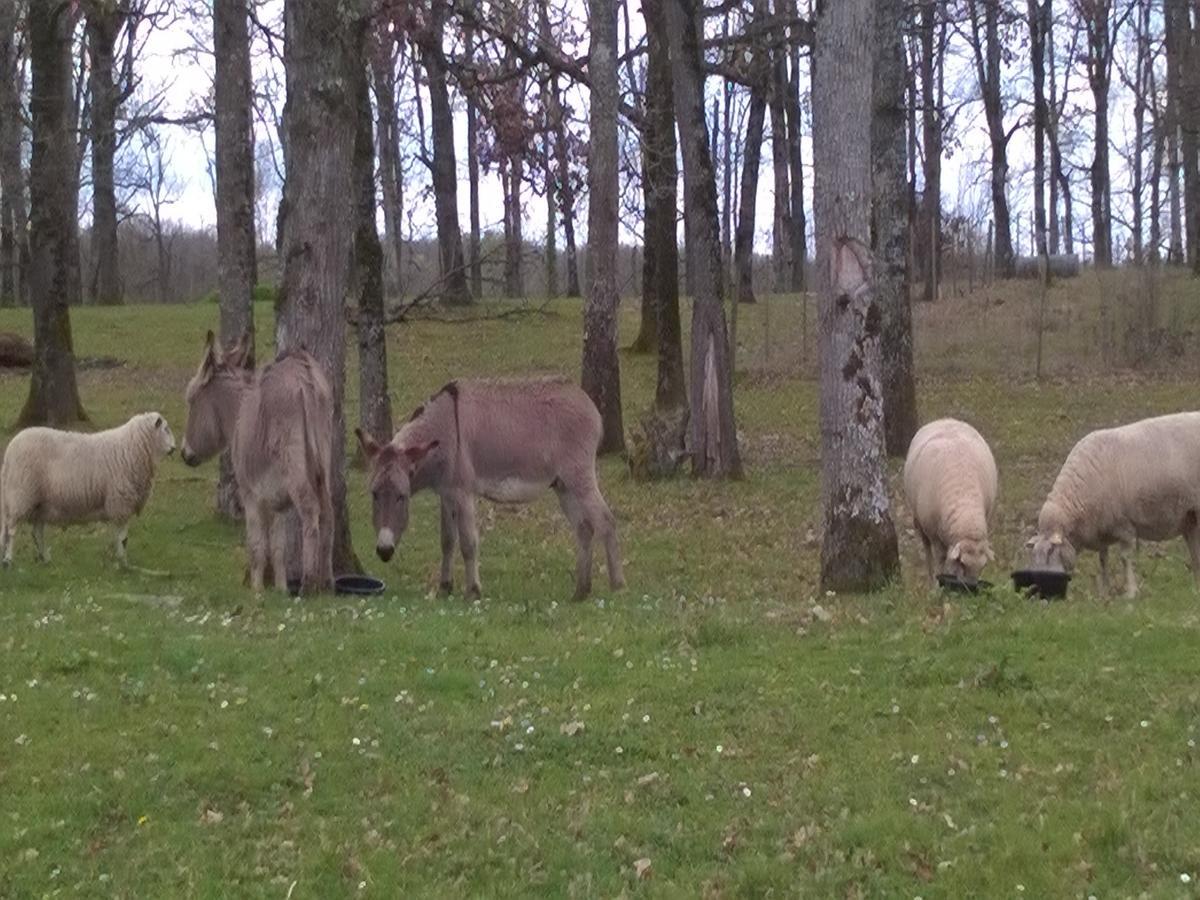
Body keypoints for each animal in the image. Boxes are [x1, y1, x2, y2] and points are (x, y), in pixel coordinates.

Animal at [0, 415, 176, 566]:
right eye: (165, 429)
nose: (174, 448)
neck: (131, 447)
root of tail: (9, 451)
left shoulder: (121, 506)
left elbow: (121, 538)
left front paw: (122, 560)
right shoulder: (121, 503)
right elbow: (123, 538)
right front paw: (123, 563)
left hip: (39, 503)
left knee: (37, 533)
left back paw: (45, 559)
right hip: (20, 496)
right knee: (11, 530)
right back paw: (9, 559)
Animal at [902, 422, 998, 585]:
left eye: (983, 566)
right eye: (962, 563)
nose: (971, 587)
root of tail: (944, 420)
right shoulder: (933, 533)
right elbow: (940, 558)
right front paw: (939, 582)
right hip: (920, 522)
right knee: (927, 549)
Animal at [1027, 415, 1200, 600]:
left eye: (1051, 551)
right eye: (1034, 555)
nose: (1040, 594)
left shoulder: (1124, 526)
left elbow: (1125, 558)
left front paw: (1130, 592)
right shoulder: (1101, 531)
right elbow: (1103, 560)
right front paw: (1105, 593)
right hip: (1190, 517)